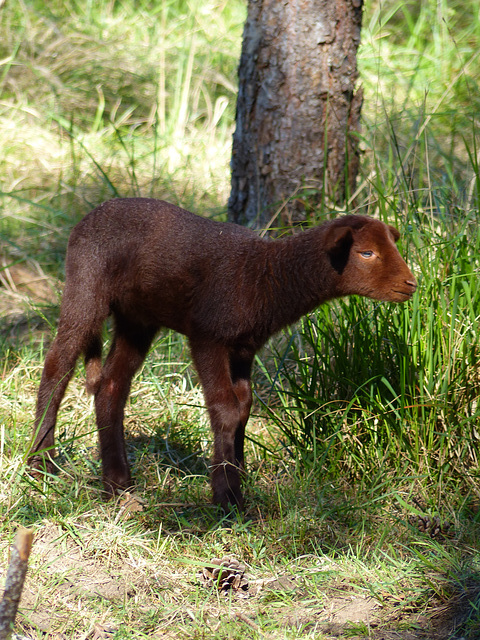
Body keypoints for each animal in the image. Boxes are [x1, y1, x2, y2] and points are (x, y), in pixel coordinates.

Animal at [28, 199, 416, 510]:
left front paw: (238, 475)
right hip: (86, 285)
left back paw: (117, 484)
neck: (265, 278)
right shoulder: (207, 337)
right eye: (366, 253)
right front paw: (227, 497)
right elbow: (225, 409)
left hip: (137, 318)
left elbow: (244, 406)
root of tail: (89, 214)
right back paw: (41, 463)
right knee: (57, 367)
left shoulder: (244, 348)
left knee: (110, 386)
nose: (412, 284)